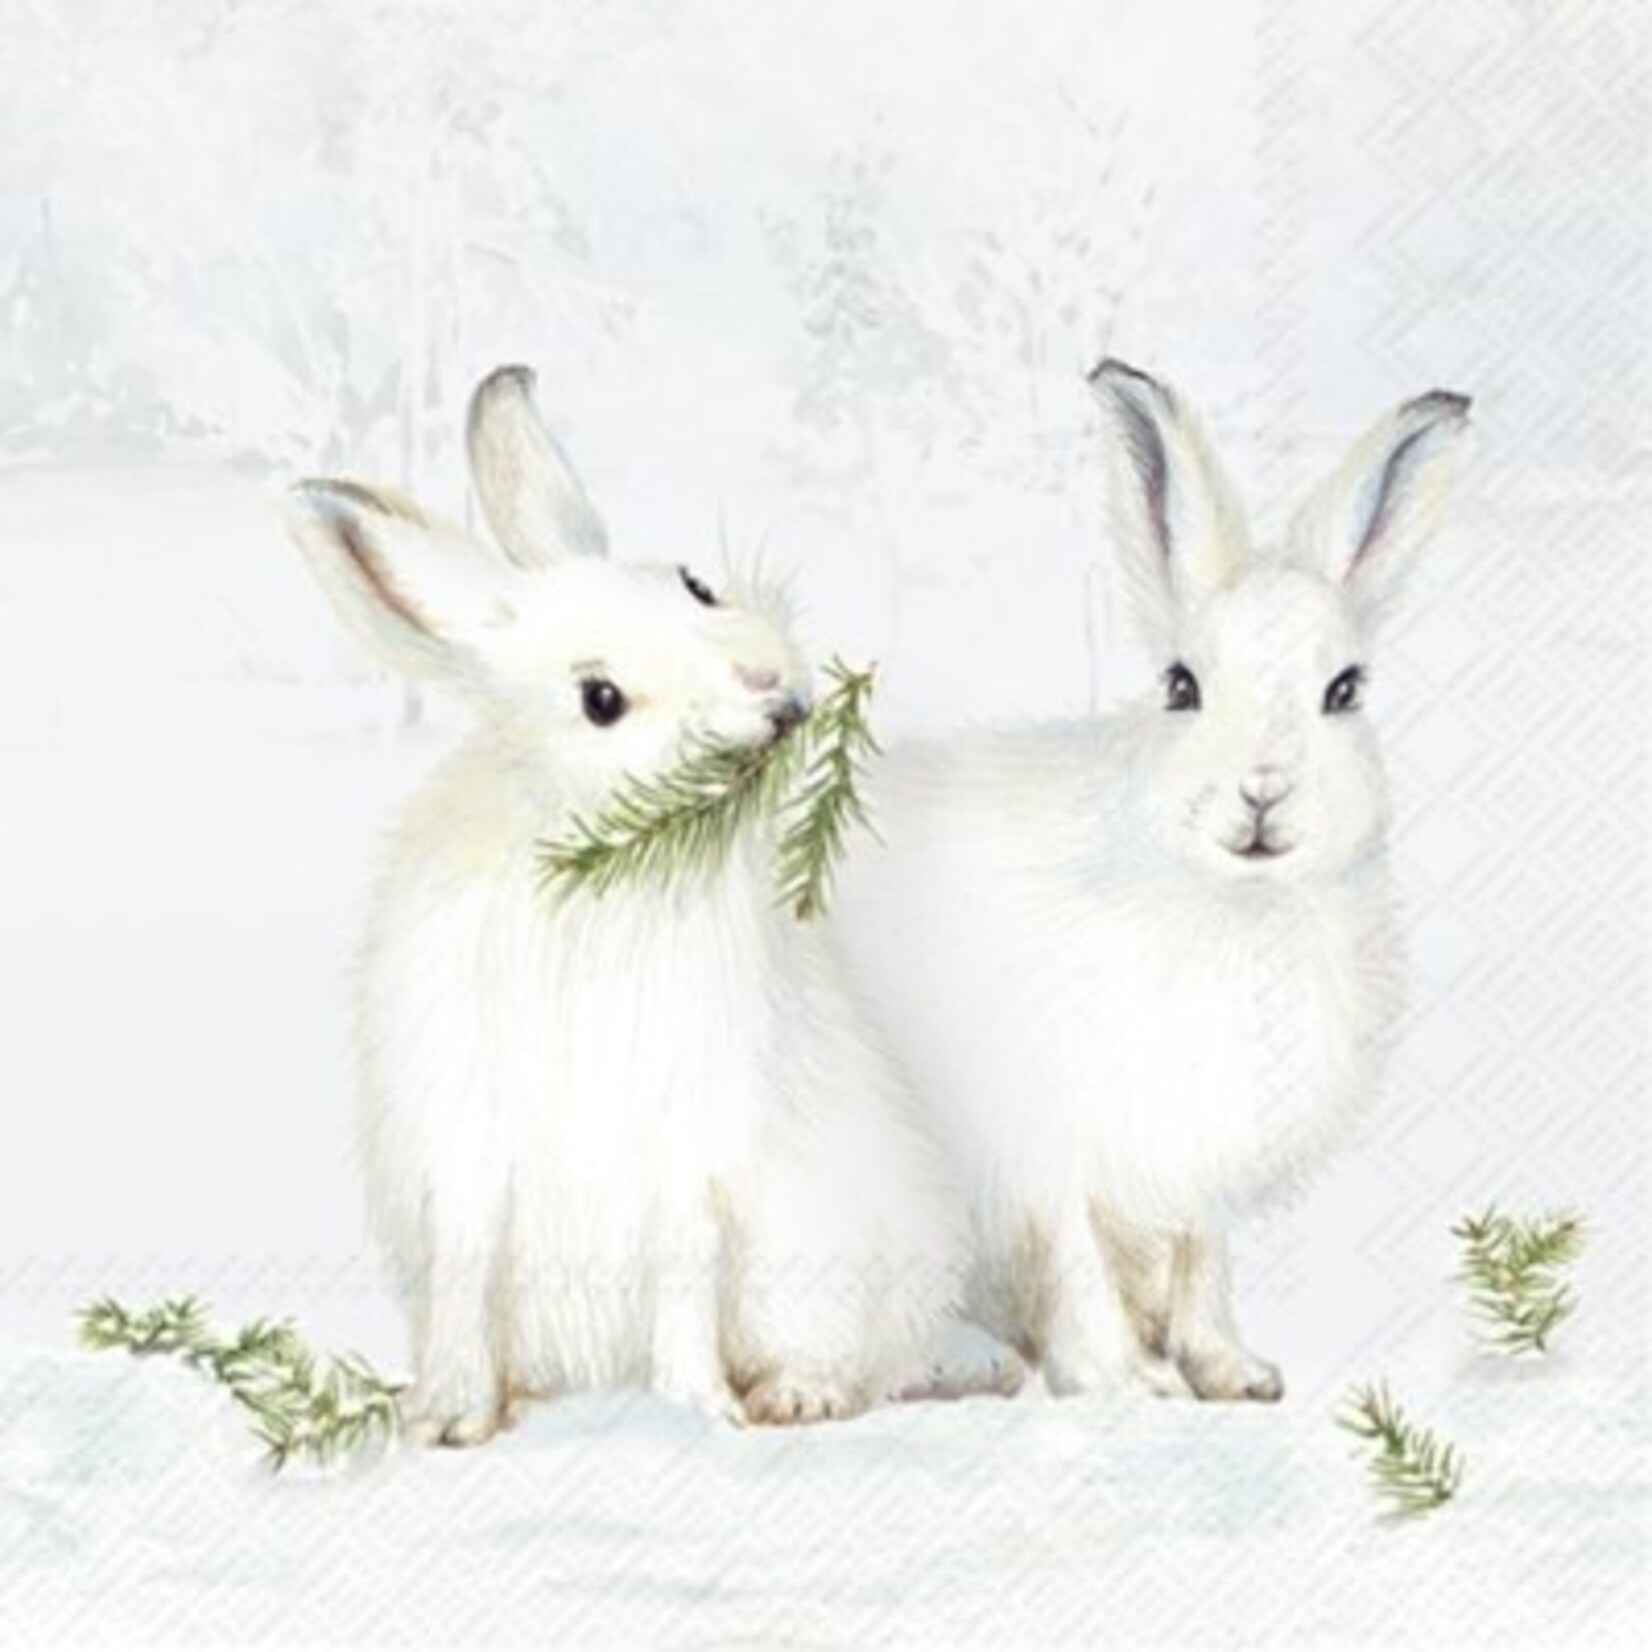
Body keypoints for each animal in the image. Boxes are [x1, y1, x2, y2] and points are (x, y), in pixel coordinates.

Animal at [285, 365, 961, 1444]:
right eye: (600, 699)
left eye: (693, 583)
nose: (771, 688)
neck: (586, 861)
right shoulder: (466, 1158)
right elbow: (466, 1281)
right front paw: (443, 1419)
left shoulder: (689, 1159)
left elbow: (683, 1286)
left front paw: (700, 1411)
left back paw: (792, 1395)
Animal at [832, 360, 1472, 1404]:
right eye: (1182, 687)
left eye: (1345, 691)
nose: (1262, 791)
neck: (1232, 906)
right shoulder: (1049, 1143)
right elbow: (1076, 1258)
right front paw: (1127, 1382)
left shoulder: (1189, 1160)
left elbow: (1203, 1258)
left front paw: (1234, 1372)